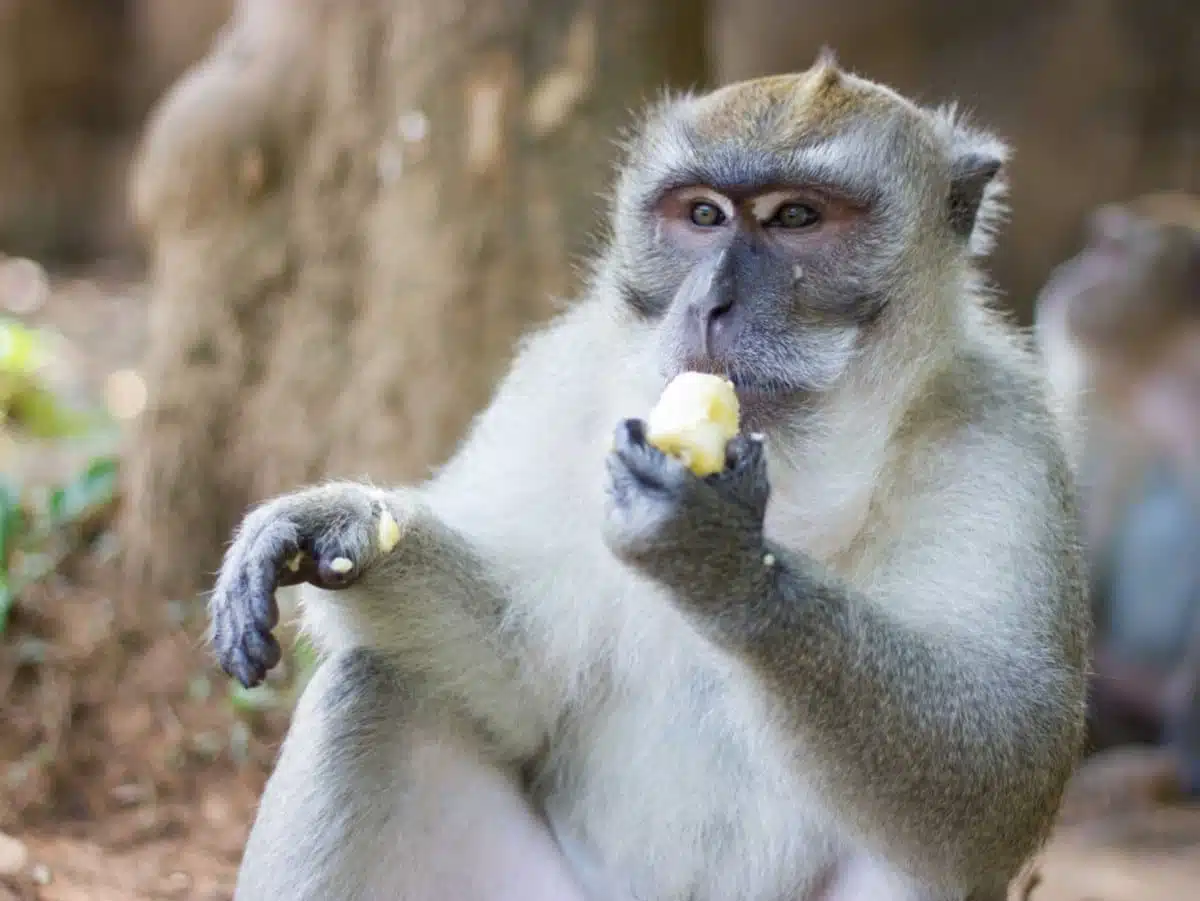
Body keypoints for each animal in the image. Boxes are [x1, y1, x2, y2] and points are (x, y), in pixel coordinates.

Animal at [209, 52, 1090, 901]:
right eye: (702, 215)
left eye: (797, 218)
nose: (710, 302)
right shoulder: (557, 378)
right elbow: (520, 679)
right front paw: (341, 519)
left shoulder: (1000, 435)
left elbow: (1007, 767)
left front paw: (724, 565)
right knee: (372, 689)